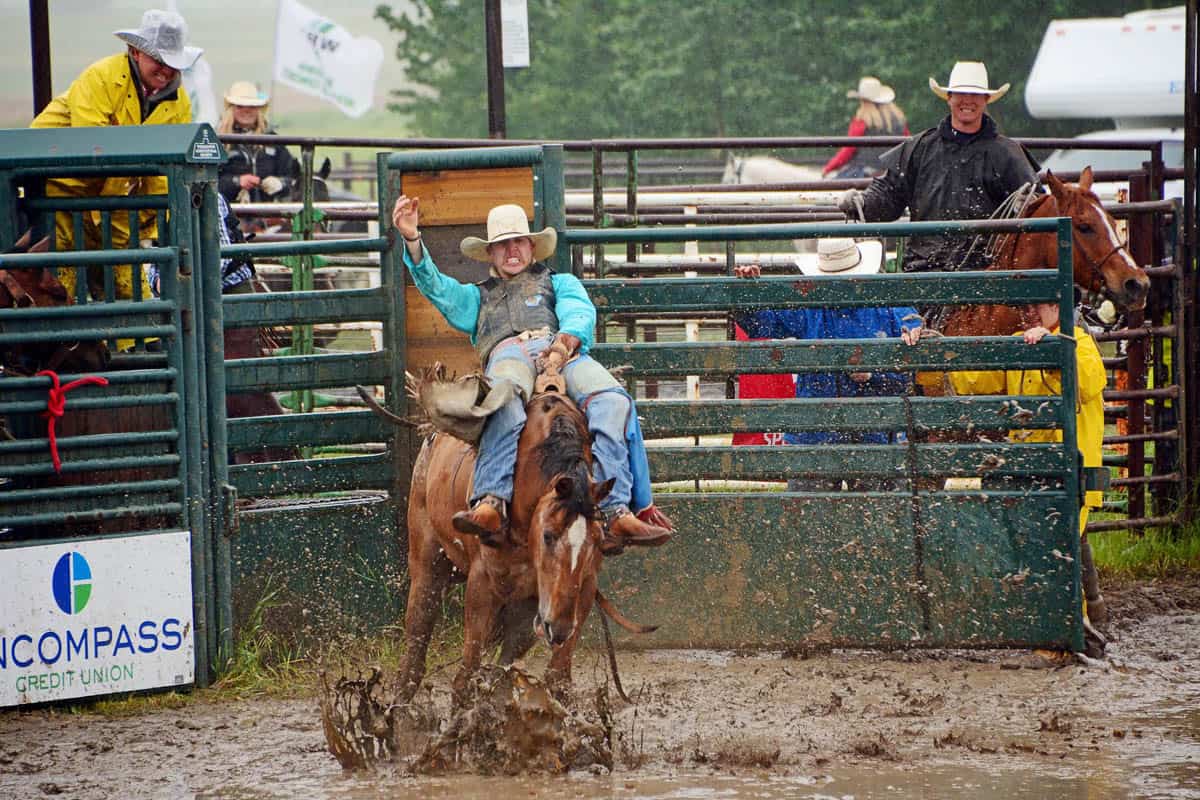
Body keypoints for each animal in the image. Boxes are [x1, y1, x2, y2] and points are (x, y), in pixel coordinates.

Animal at [391, 388, 657, 705]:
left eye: (597, 542)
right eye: (548, 536)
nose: (559, 628)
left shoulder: (581, 588)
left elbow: (558, 678)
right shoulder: (483, 580)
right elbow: (466, 677)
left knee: (504, 665)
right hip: (427, 563)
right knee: (416, 648)